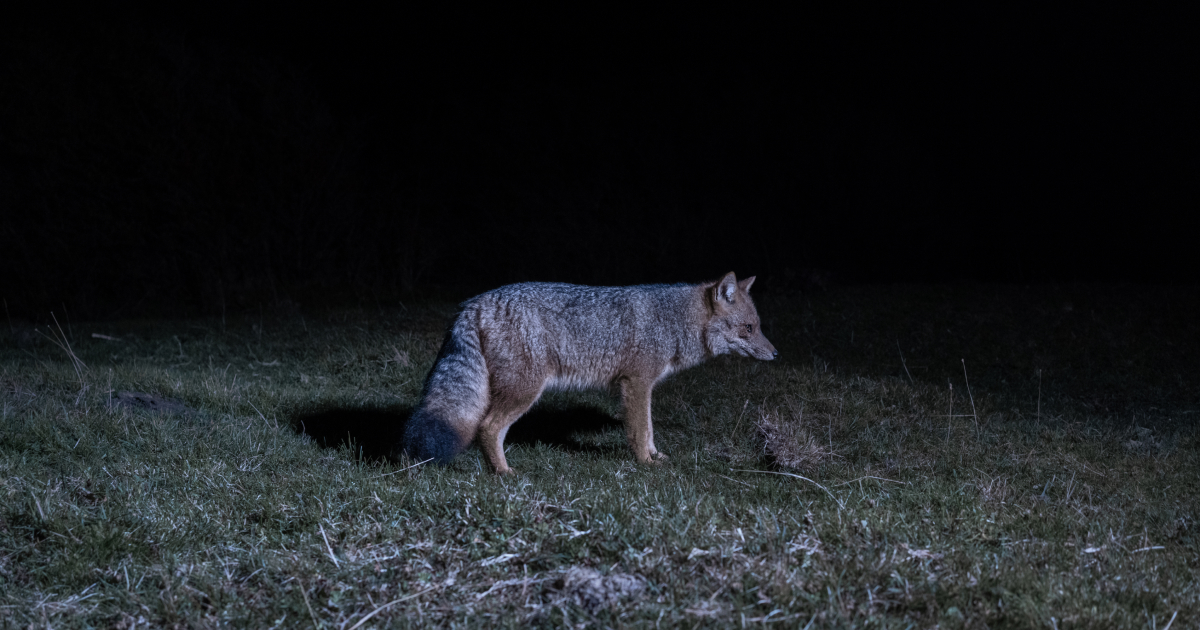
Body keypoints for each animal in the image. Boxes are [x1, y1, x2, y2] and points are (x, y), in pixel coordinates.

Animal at [403, 270, 777, 470]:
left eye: (758, 326)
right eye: (748, 329)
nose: (775, 353)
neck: (673, 320)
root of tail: (474, 303)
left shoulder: (643, 387)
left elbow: (651, 429)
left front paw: (656, 455)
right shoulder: (636, 383)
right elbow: (640, 430)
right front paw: (646, 463)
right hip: (525, 392)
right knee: (488, 428)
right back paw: (504, 473)